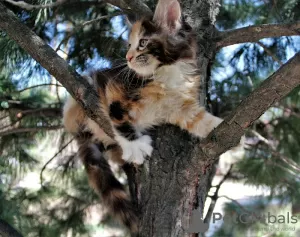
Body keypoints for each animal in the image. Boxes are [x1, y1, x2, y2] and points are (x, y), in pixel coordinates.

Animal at [62, 0, 223, 232]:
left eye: (143, 42)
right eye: (129, 45)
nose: (128, 58)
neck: (166, 72)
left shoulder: (177, 104)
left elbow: (196, 117)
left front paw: (219, 124)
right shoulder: (115, 86)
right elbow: (118, 116)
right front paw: (135, 145)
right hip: (80, 100)